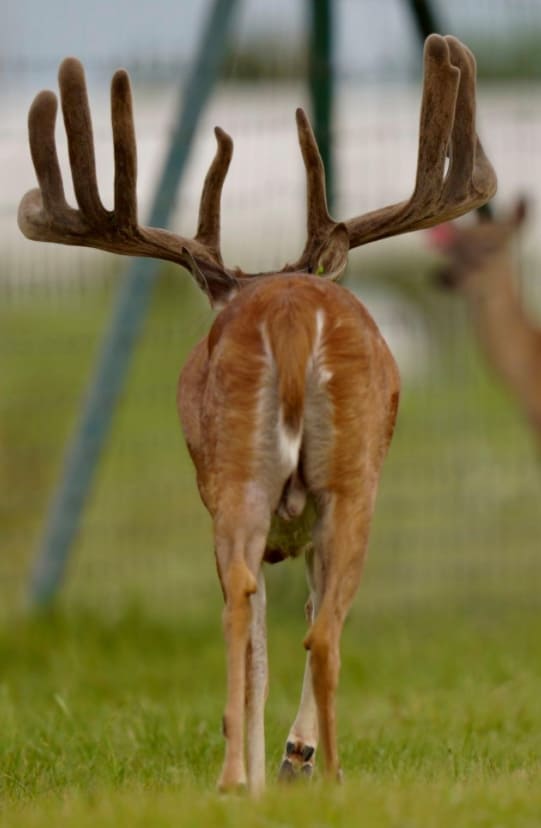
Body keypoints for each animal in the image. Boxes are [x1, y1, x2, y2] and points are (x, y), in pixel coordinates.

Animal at [18, 34, 496, 793]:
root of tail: (293, 313)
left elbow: (260, 637)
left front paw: (265, 766)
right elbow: (301, 618)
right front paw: (291, 757)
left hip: (237, 471)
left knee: (243, 603)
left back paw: (240, 777)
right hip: (353, 477)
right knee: (324, 625)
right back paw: (319, 771)